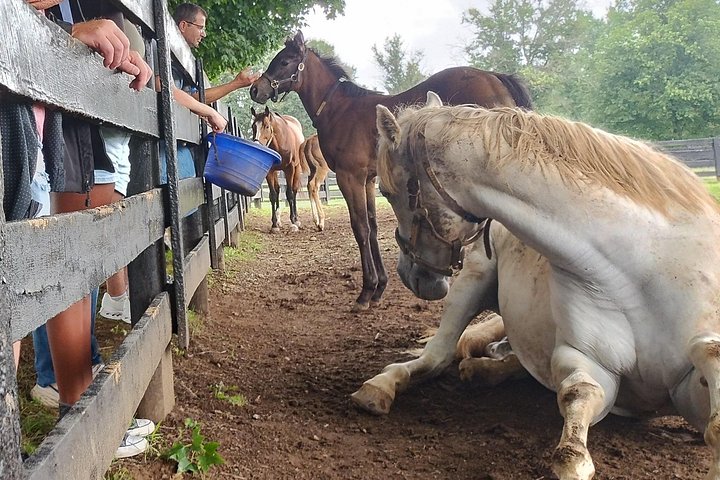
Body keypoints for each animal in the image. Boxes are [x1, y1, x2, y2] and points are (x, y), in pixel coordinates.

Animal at [250, 30, 533, 311]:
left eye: (284, 61)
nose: (255, 89)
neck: (339, 109)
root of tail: (496, 78)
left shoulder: (349, 177)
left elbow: (361, 228)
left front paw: (366, 292)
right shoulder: (368, 180)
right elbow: (373, 226)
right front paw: (379, 287)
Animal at [354, 91, 720, 479]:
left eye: (386, 191)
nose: (409, 274)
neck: (641, 264)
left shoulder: (687, 390)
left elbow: (709, 379)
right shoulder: (589, 364)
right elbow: (576, 411)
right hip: (473, 281)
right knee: (438, 355)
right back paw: (385, 386)